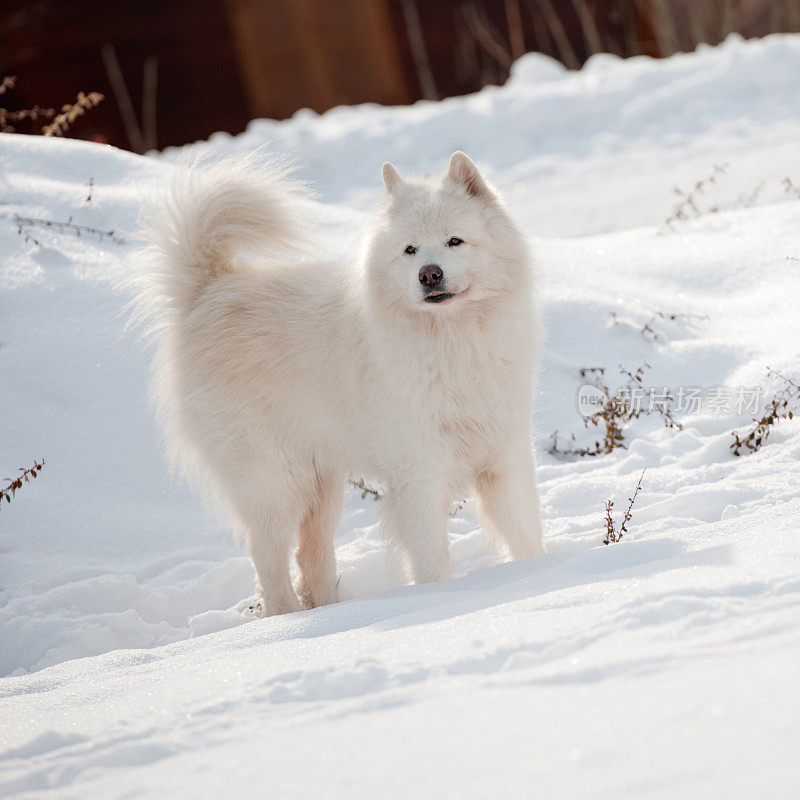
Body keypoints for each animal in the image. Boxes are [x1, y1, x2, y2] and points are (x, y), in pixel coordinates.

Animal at [138, 153, 548, 616]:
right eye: (409, 250)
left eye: (455, 241)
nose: (429, 274)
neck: (454, 339)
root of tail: (205, 292)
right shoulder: (420, 471)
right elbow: (430, 556)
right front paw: (439, 599)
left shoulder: (505, 455)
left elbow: (525, 533)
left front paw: (539, 573)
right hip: (273, 481)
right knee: (267, 555)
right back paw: (288, 617)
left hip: (321, 485)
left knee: (309, 555)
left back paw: (328, 610)